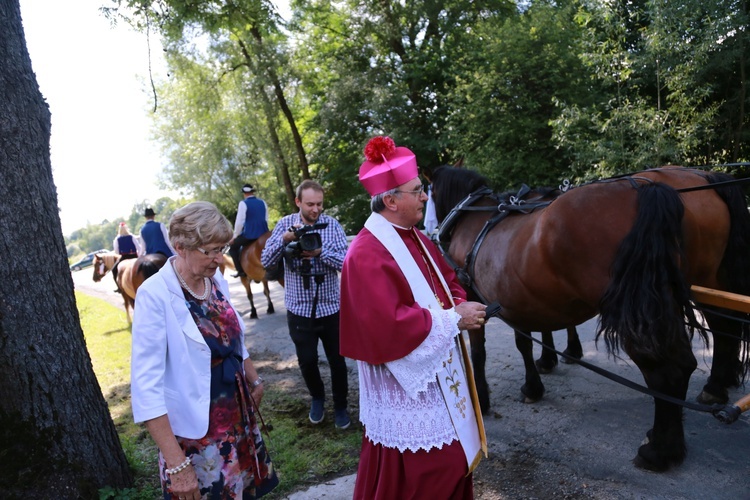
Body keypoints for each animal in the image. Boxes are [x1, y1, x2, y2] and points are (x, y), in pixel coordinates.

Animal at [432, 166, 750, 470]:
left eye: (429, 193)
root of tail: (647, 190)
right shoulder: (516, 299)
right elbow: (526, 342)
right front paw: (538, 378)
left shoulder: (480, 300)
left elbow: (481, 352)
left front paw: (484, 399)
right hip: (697, 285)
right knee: (716, 334)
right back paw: (710, 392)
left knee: (668, 369)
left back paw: (660, 451)